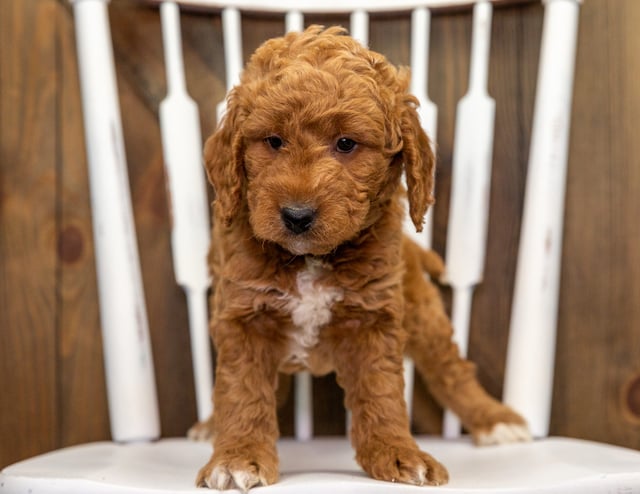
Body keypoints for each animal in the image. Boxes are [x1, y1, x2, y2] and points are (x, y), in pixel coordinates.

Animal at [196, 26, 528, 490]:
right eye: (273, 141)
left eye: (346, 144)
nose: (296, 215)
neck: (310, 260)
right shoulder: (243, 317)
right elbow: (242, 392)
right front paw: (238, 456)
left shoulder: (373, 318)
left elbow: (382, 394)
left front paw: (398, 453)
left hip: (422, 314)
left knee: (451, 368)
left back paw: (494, 419)